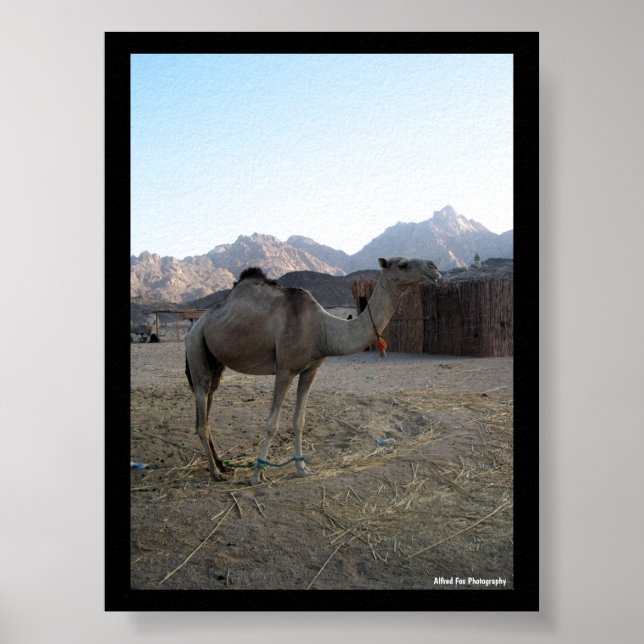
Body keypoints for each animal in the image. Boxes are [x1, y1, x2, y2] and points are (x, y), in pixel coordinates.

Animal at [185, 257, 441, 485]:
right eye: (403, 264)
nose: (434, 268)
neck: (322, 328)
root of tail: (197, 323)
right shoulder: (285, 369)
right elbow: (271, 424)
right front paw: (257, 474)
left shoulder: (311, 369)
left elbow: (299, 420)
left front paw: (301, 468)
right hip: (196, 347)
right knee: (201, 411)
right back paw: (215, 473)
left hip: (216, 363)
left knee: (206, 411)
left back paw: (222, 466)